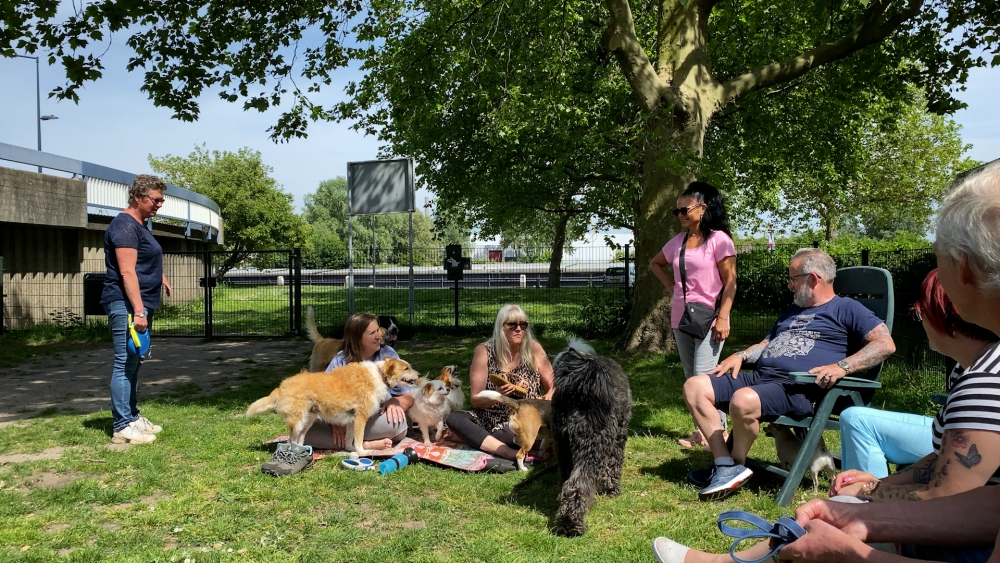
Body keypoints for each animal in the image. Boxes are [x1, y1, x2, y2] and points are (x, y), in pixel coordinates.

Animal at [252, 360, 424, 456]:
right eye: (406, 368)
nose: (419, 374)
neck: (379, 374)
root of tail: (280, 387)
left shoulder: (351, 421)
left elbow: (350, 439)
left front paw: (350, 450)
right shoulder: (360, 418)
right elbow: (359, 439)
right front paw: (362, 453)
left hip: (308, 421)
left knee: (299, 439)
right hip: (299, 422)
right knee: (290, 440)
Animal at [552, 340, 628, 536]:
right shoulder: (618, 437)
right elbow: (613, 466)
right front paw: (611, 489)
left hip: (564, 449)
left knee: (567, 484)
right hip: (591, 448)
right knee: (578, 485)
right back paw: (572, 524)